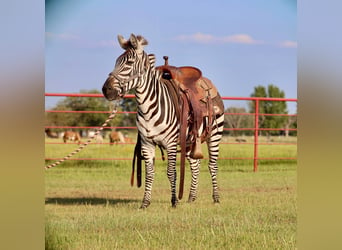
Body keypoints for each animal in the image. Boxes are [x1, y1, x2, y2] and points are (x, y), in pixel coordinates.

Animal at [101, 33, 224, 209]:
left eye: (129, 63)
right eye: (116, 62)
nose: (106, 90)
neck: (148, 108)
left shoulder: (171, 143)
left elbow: (171, 172)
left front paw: (174, 202)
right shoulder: (147, 143)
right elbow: (149, 173)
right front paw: (145, 203)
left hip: (214, 135)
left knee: (212, 165)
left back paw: (216, 198)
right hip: (190, 140)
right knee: (195, 165)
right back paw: (191, 197)